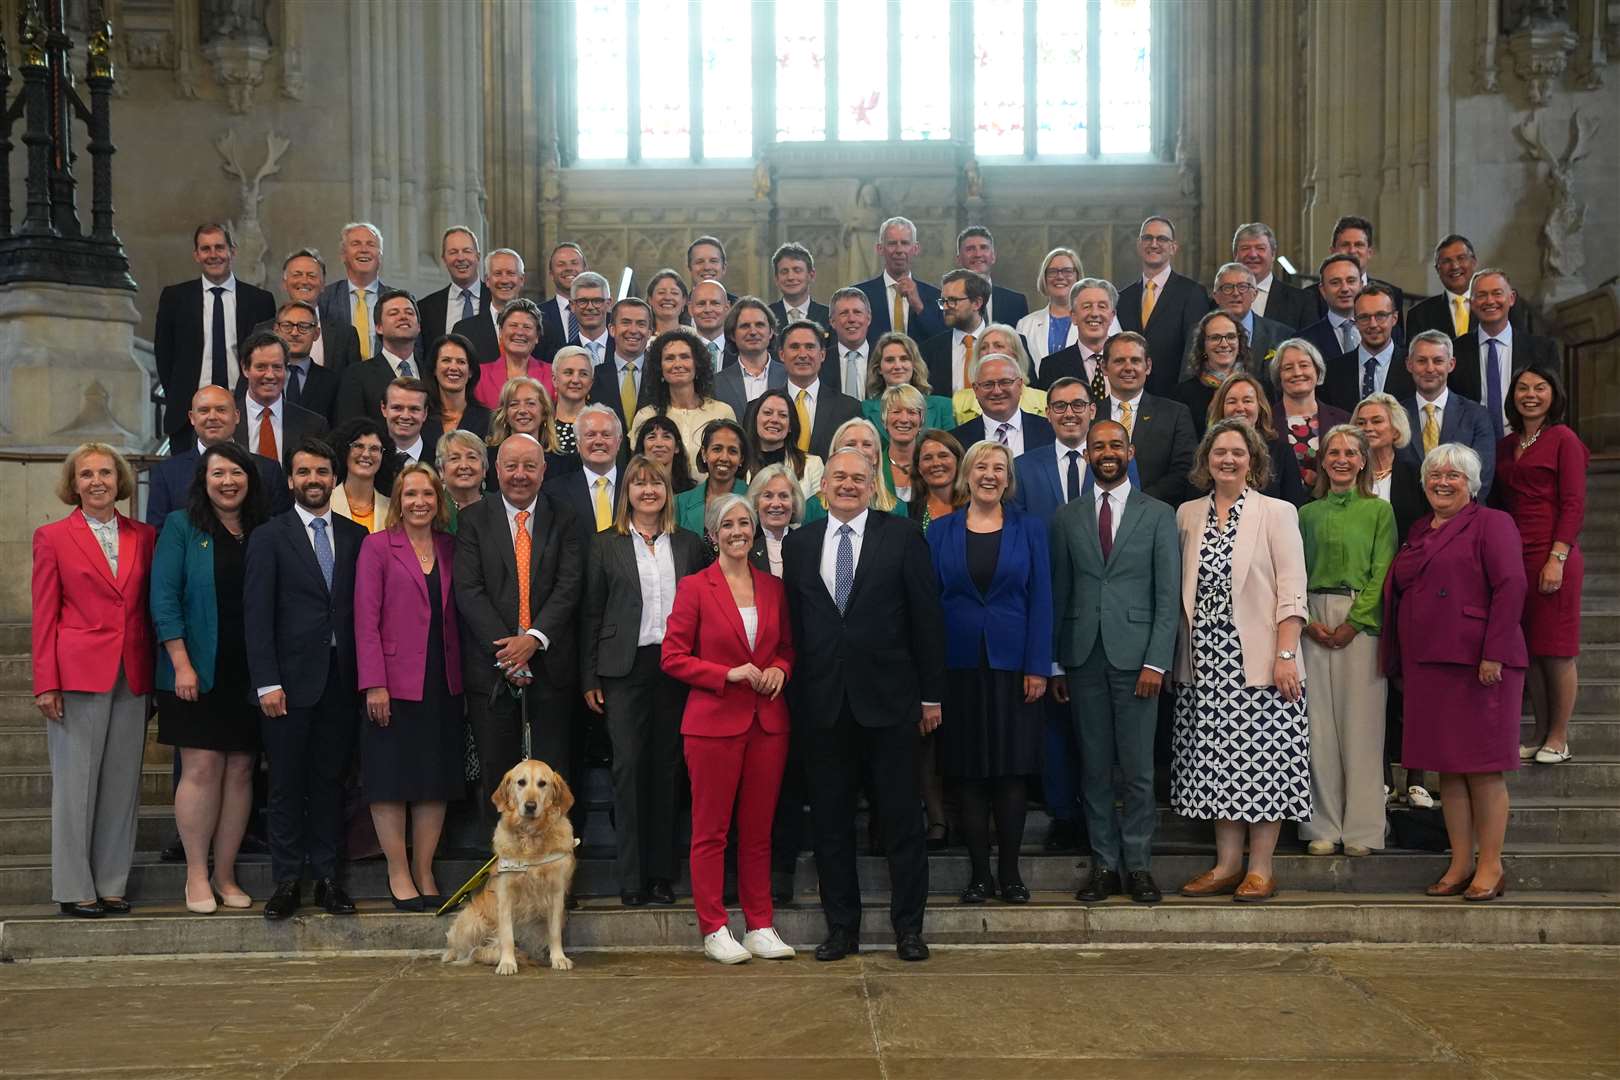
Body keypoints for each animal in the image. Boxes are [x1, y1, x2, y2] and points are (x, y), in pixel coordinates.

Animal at [443, 757, 576, 977]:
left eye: (542, 783)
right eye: (521, 782)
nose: (530, 806)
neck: (531, 837)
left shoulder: (556, 893)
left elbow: (555, 932)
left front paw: (559, 958)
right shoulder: (505, 894)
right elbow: (507, 936)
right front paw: (507, 963)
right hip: (471, 921)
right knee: (462, 947)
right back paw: (453, 955)